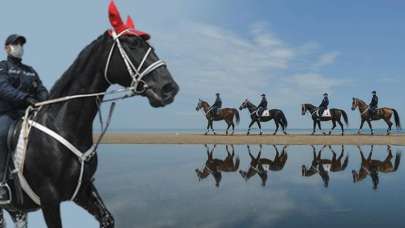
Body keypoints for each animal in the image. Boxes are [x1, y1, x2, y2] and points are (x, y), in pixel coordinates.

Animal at [0, 1, 178, 226]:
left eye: (150, 47)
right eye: (132, 45)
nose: (169, 88)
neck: (62, 126)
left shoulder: (83, 190)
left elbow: (107, 218)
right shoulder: (49, 198)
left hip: (17, 210)